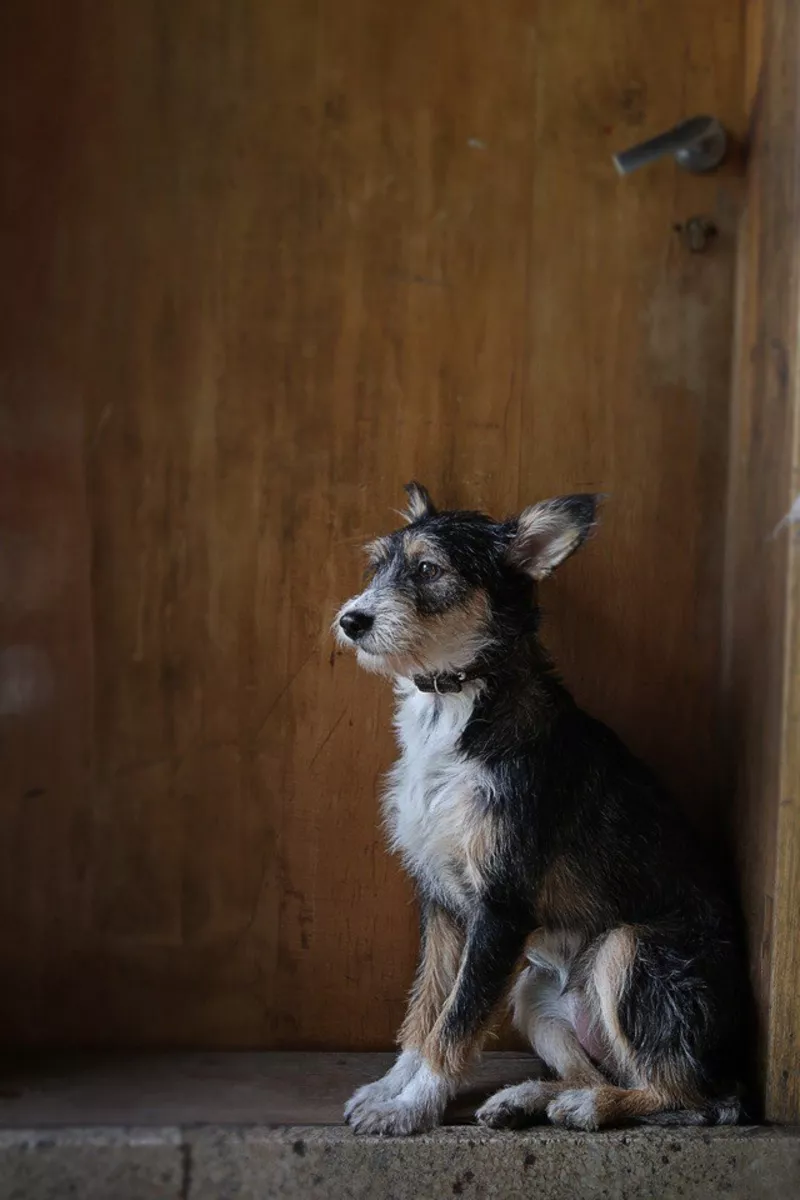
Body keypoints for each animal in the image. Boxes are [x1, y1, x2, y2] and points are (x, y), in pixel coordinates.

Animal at [333, 484, 753, 1132]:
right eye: (378, 565)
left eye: (428, 570)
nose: (352, 621)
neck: (458, 702)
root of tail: (738, 1070)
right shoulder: (443, 901)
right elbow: (427, 1005)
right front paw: (390, 1087)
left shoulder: (501, 907)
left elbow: (456, 1020)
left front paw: (412, 1109)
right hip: (533, 991)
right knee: (603, 1072)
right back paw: (529, 1097)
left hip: (626, 950)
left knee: (684, 1096)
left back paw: (586, 1107)